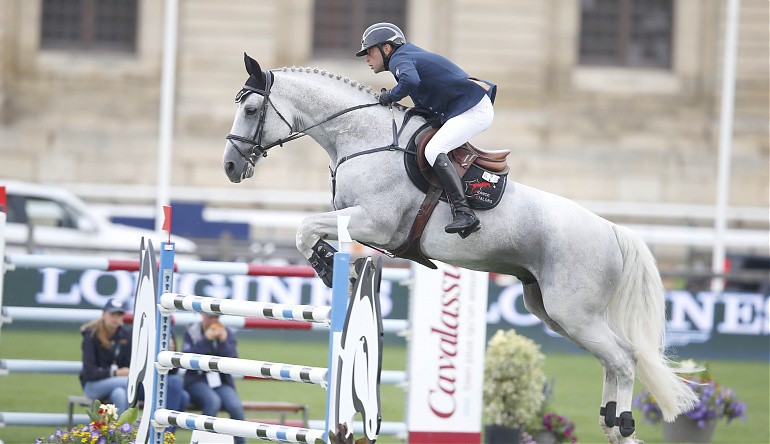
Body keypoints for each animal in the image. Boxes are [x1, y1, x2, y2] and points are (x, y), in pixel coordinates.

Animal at [220, 55, 696, 444]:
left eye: (251, 109)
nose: (229, 166)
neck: (360, 139)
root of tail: (613, 231)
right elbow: (311, 231)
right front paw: (337, 268)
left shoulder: (375, 223)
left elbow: (305, 230)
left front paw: (330, 269)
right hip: (553, 310)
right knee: (614, 360)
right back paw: (611, 423)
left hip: (574, 312)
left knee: (624, 359)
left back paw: (621, 426)